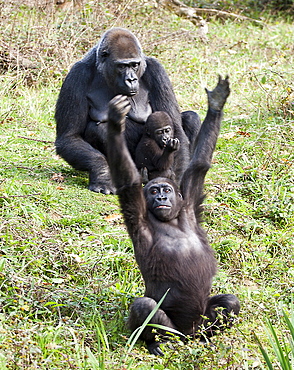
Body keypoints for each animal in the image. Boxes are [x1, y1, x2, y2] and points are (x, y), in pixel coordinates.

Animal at [54, 27, 200, 195]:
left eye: (134, 65)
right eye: (122, 66)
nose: (131, 79)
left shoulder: (157, 71)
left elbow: (177, 129)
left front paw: (174, 184)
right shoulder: (77, 76)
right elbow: (69, 137)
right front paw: (103, 175)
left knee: (191, 118)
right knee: (100, 129)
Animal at [107, 76, 240, 356]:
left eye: (167, 190)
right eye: (153, 190)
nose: (161, 199)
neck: (172, 221)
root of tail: (189, 335)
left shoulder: (188, 202)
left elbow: (199, 164)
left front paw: (216, 104)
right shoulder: (137, 215)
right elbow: (128, 180)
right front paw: (114, 122)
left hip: (199, 325)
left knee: (230, 301)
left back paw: (208, 338)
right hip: (176, 333)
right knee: (145, 307)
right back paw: (157, 343)